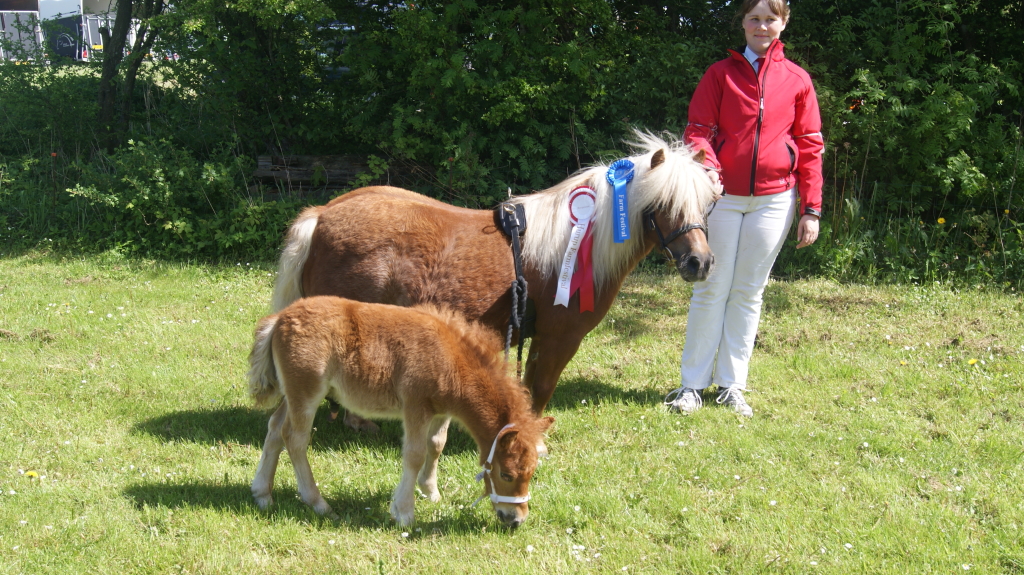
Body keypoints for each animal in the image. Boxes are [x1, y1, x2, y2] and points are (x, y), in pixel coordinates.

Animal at [247, 296, 552, 527]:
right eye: (507, 475)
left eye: (532, 473)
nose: (516, 520)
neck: (450, 360)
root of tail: (279, 319)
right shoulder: (416, 407)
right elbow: (415, 454)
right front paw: (404, 512)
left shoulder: (441, 412)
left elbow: (436, 445)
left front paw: (431, 492)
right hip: (306, 392)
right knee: (295, 438)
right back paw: (318, 503)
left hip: (293, 394)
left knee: (275, 429)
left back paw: (262, 494)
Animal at [272, 131, 720, 419]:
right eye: (663, 204)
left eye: (707, 203)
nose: (699, 262)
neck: (576, 242)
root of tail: (322, 214)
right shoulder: (559, 338)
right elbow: (540, 391)